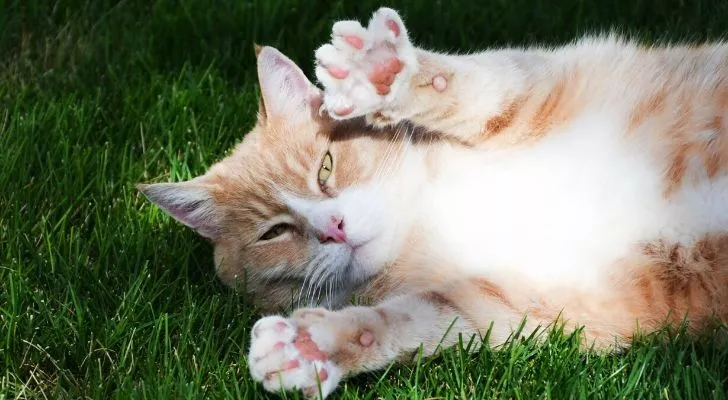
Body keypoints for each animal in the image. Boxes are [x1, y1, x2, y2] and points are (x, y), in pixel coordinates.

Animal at [139, 7, 728, 400]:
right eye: (274, 232)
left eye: (325, 167)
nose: (333, 227)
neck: (431, 213)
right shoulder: (527, 304)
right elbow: (407, 320)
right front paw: (313, 346)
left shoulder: (537, 87)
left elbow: (475, 88)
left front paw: (382, 74)